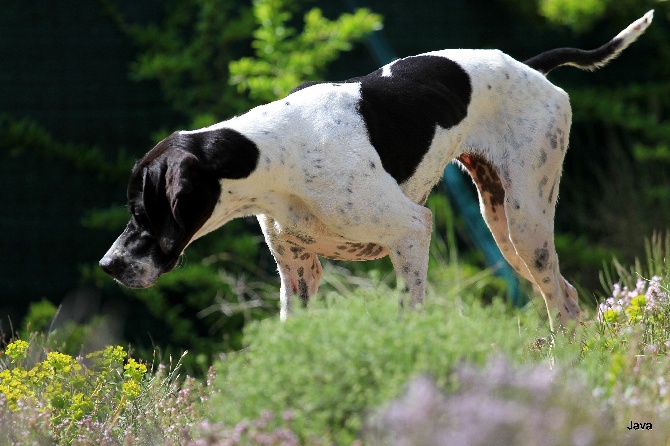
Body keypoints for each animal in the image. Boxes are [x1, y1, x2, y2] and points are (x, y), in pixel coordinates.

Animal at [101, 11, 656, 332]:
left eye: (142, 209)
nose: (108, 265)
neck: (277, 155)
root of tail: (531, 67)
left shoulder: (411, 232)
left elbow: (408, 314)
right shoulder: (299, 273)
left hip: (527, 225)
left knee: (560, 301)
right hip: (504, 228)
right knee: (563, 295)